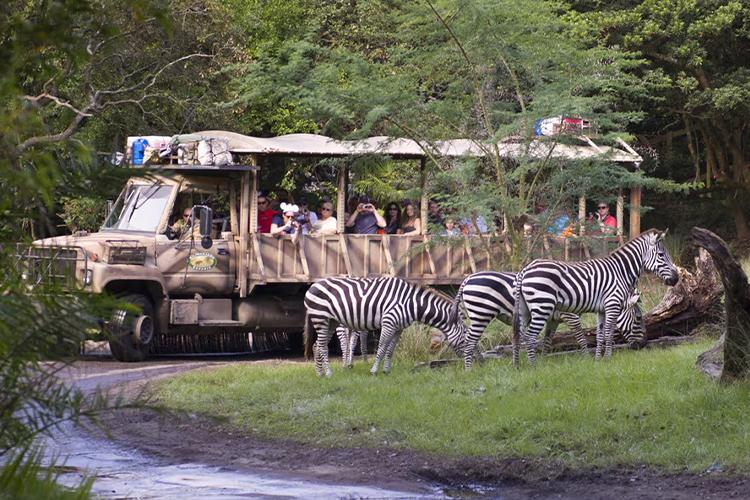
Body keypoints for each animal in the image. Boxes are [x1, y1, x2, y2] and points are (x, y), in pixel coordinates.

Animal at [302, 276, 468, 376]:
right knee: (322, 346)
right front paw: (374, 370)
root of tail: (313, 285)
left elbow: (390, 350)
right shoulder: (389, 322)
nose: (473, 362)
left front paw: (386, 370)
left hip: (330, 322)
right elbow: (381, 347)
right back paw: (329, 373)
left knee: (317, 345)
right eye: (465, 340)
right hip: (321, 318)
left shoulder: (398, 328)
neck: (411, 304)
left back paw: (320, 374)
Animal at [452, 272, 648, 370]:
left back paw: (480, 364)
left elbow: (547, 341)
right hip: (481, 313)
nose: (644, 345)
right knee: (469, 340)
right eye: (639, 318)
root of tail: (467, 279)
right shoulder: (570, 315)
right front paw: (587, 357)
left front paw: (542, 360)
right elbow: (581, 337)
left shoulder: (554, 320)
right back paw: (470, 369)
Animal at [516, 229, 680, 366]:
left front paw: (597, 361)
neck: (621, 272)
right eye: (661, 255)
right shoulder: (612, 305)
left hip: (527, 311)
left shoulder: (601, 309)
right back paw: (533, 367)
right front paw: (607, 358)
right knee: (530, 337)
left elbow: (600, 335)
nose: (676, 278)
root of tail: (525, 269)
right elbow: (608, 333)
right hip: (542, 306)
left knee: (523, 336)